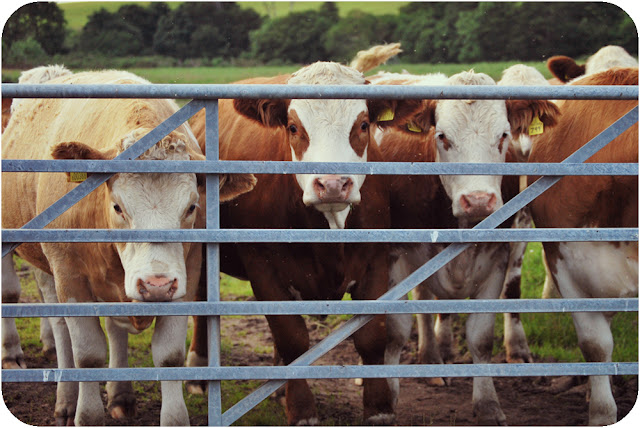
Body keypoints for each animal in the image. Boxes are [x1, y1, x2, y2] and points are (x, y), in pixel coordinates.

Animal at [185, 60, 422, 424]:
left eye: (363, 124)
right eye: (294, 127)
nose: (333, 184)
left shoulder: (375, 261)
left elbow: (370, 337)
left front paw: (379, 408)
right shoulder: (262, 267)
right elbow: (292, 337)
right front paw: (302, 410)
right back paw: (199, 370)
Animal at [370, 68, 560, 422]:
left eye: (503, 135)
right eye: (442, 136)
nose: (478, 200)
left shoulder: (497, 258)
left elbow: (481, 337)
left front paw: (487, 405)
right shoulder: (395, 258)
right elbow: (395, 332)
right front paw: (385, 401)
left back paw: (432, 360)